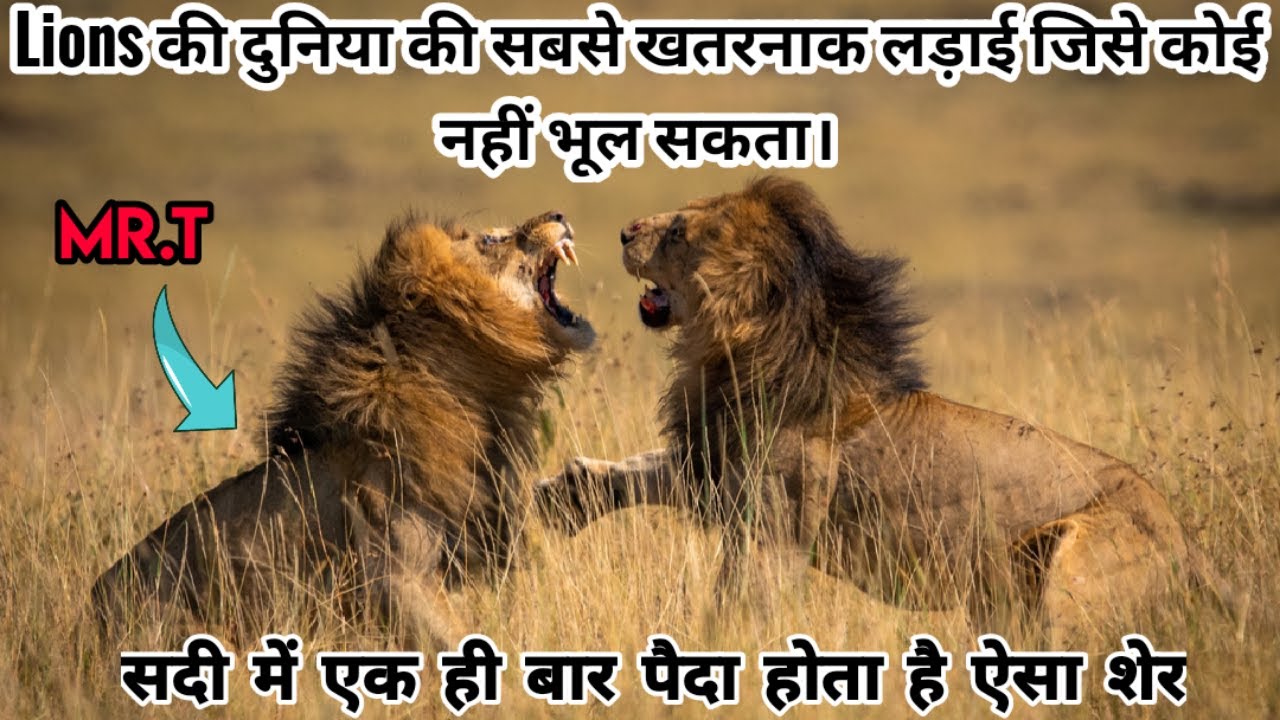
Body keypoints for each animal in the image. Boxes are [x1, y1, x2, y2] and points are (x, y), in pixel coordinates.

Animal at [92, 210, 593, 650]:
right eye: (492, 239)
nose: (559, 214)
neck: (477, 397)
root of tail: (88, 609)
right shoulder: (395, 573)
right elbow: (460, 640)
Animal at [536, 176, 1235, 647]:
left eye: (680, 231)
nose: (623, 232)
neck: (742, 347)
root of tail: (1192, 545)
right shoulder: (718, 468)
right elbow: (638, 472)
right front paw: (558, 499)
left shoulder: (776, 528)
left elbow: (737, 607)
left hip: (1074, 565)